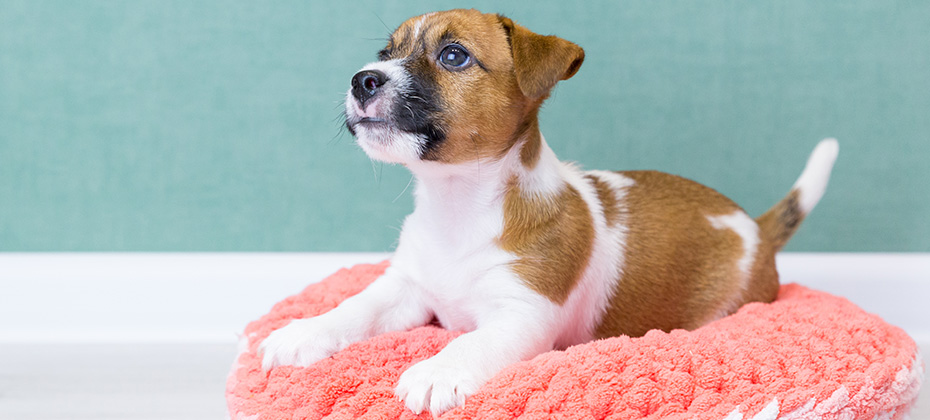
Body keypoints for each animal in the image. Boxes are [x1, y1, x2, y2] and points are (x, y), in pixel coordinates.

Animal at [258, 9, 836, 416]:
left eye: (453, 56)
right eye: (386, 52)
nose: (363, 79)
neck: (459, 207)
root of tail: (755, 228)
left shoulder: (523, 315)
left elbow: (474, 340)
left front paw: (438, 369)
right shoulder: (405, 288)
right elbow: (354, 308)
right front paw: (301, 333)